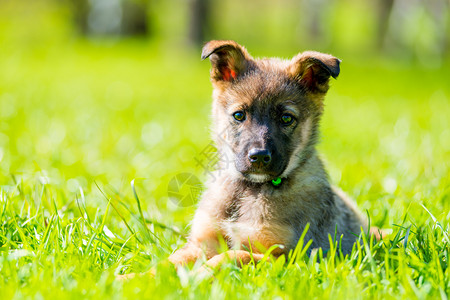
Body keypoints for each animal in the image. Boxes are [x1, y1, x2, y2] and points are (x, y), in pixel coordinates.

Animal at [169, 39, 370, 270]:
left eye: (286, 118)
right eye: (239, 115)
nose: (259, 156)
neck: (249, 190)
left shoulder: (281, 257)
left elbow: (233, 256)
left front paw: (200, 274)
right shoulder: (201, 243)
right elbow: (168, 262)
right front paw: (147, 276)